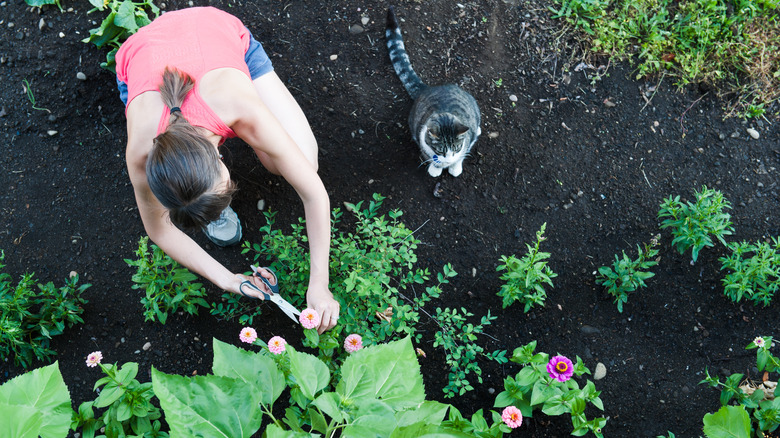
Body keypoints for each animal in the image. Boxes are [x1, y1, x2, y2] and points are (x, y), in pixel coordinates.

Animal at [386, 4, 482, 176]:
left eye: (456, 148)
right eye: (441, 150)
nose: (448, 160)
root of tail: (428, 88)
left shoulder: (465, 140)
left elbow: (463, 153)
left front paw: (455, 167)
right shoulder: (422, 139)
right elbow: (429, 156)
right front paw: (435, 168)